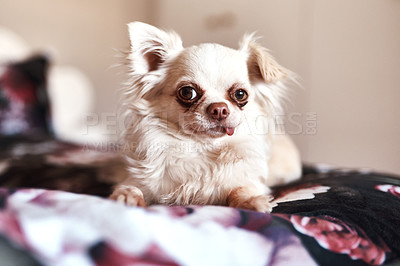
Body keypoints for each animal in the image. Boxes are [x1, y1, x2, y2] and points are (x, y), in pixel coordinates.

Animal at [109, 21, 300, 212]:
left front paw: (252, 201)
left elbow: (241, 188)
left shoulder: (249, 180)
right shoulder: (139, 179)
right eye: (187, 92)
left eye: (240, 94)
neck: (202, 148)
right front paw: (126, 197)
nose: (219, 108)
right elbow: (130, 187)